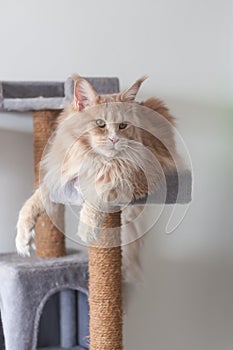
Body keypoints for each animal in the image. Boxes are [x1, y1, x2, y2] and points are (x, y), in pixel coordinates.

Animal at [16, 76, 177, 278]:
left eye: (123, 125)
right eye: (100, 123)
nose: (114, 139)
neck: (94, 159)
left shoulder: (142, 174)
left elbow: (101, 190)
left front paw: (87, 229)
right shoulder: (61, 177)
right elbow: (32, 202)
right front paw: (23, 239)